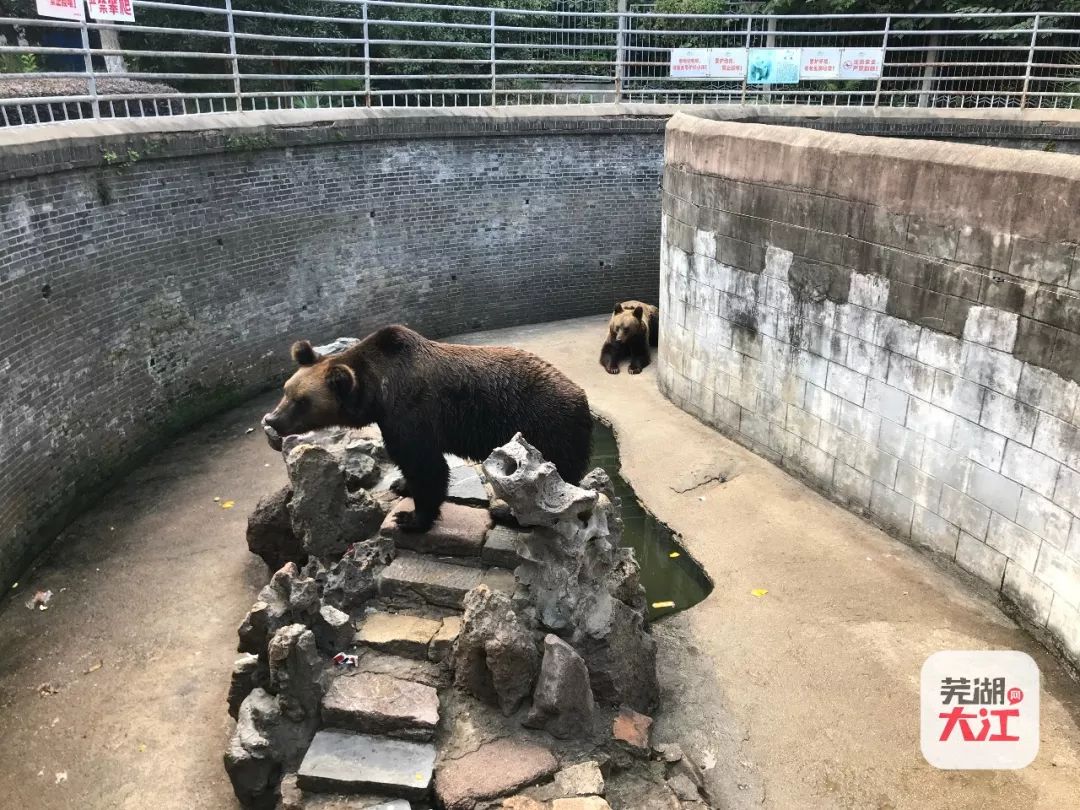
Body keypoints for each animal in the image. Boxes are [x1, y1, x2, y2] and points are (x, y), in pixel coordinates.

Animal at [265, 326, 596, 535]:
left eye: (301, 401)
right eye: (286, 391)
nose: (272, 419)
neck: (377, 392)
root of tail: (582, 397)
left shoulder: (411, 411)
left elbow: (425, 465)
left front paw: (411, 518)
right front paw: (401, 485)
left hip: (544, 434)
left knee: (549, 486)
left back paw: (508, 514)